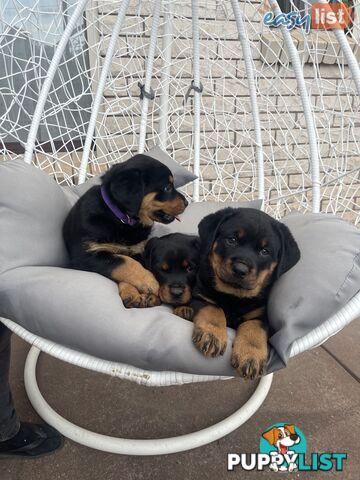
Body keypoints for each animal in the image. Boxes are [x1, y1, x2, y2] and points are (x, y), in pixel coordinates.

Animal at [63, 156, 188, 310]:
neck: (121, 219)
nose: (187, 203)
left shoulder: (138, 250)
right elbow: (124, 262)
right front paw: (149, 282)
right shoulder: (85, 256)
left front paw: (136, 293)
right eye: (167, 188)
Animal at [188, 208, 300, 380]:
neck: (233, 296)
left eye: (264, 251)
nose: (240, 269)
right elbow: (214, 308)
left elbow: (253, 328)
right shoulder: (200, 296)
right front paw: (212, 335)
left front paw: (250, 356)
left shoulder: (260, 314)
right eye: (232, 240)